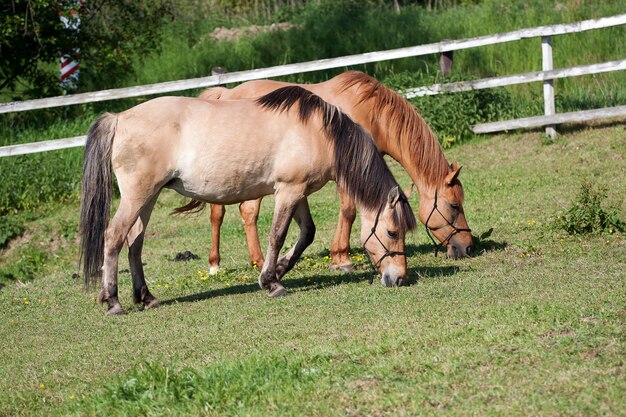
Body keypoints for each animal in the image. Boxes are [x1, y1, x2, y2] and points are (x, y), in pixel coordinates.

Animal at [80, 86, 416, 314]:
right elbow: (277, 235)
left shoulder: (298, 192)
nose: (399, 279)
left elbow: (306, 234)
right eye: (392, 232)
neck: (319, 132)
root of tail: (119, 118)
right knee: (114, 236)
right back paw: (112, 301)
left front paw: (279, 269)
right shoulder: (288, 191)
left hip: (147, 198)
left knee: (134, 241)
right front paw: (271, 282)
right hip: (138, 195)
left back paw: (146, 297)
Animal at [188, 70, 470, 272]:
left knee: (225, 213)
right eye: (454, 206)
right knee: (242, 212)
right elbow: (349, 210)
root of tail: (225, 94)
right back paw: (249, 262)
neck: (371, 112)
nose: (468, 247)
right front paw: (341, 258)